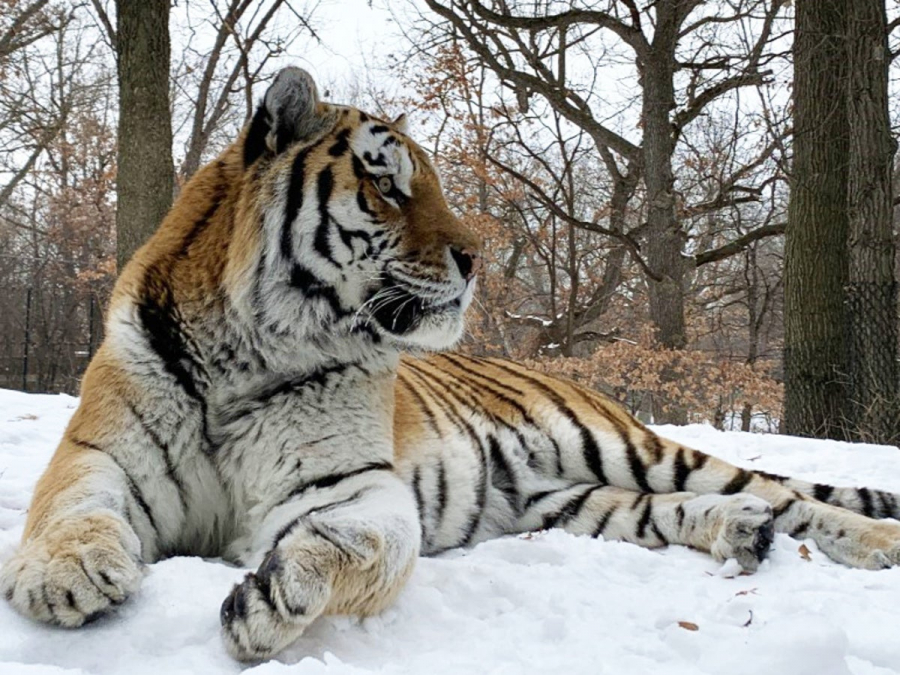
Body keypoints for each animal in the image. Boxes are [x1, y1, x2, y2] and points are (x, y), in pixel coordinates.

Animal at [5, 67, 900, 660]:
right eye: (388, 186)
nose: (477, 257)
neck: (246, 349)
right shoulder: (99, 450)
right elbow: (71, 508)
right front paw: (67, 575)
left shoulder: (352, 485)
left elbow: (348, 543)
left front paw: (271, 597)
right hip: (563, 500)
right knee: (682, 509)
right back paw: (740, 532)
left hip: (624, 445)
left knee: (786, 494)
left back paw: (875, 538)